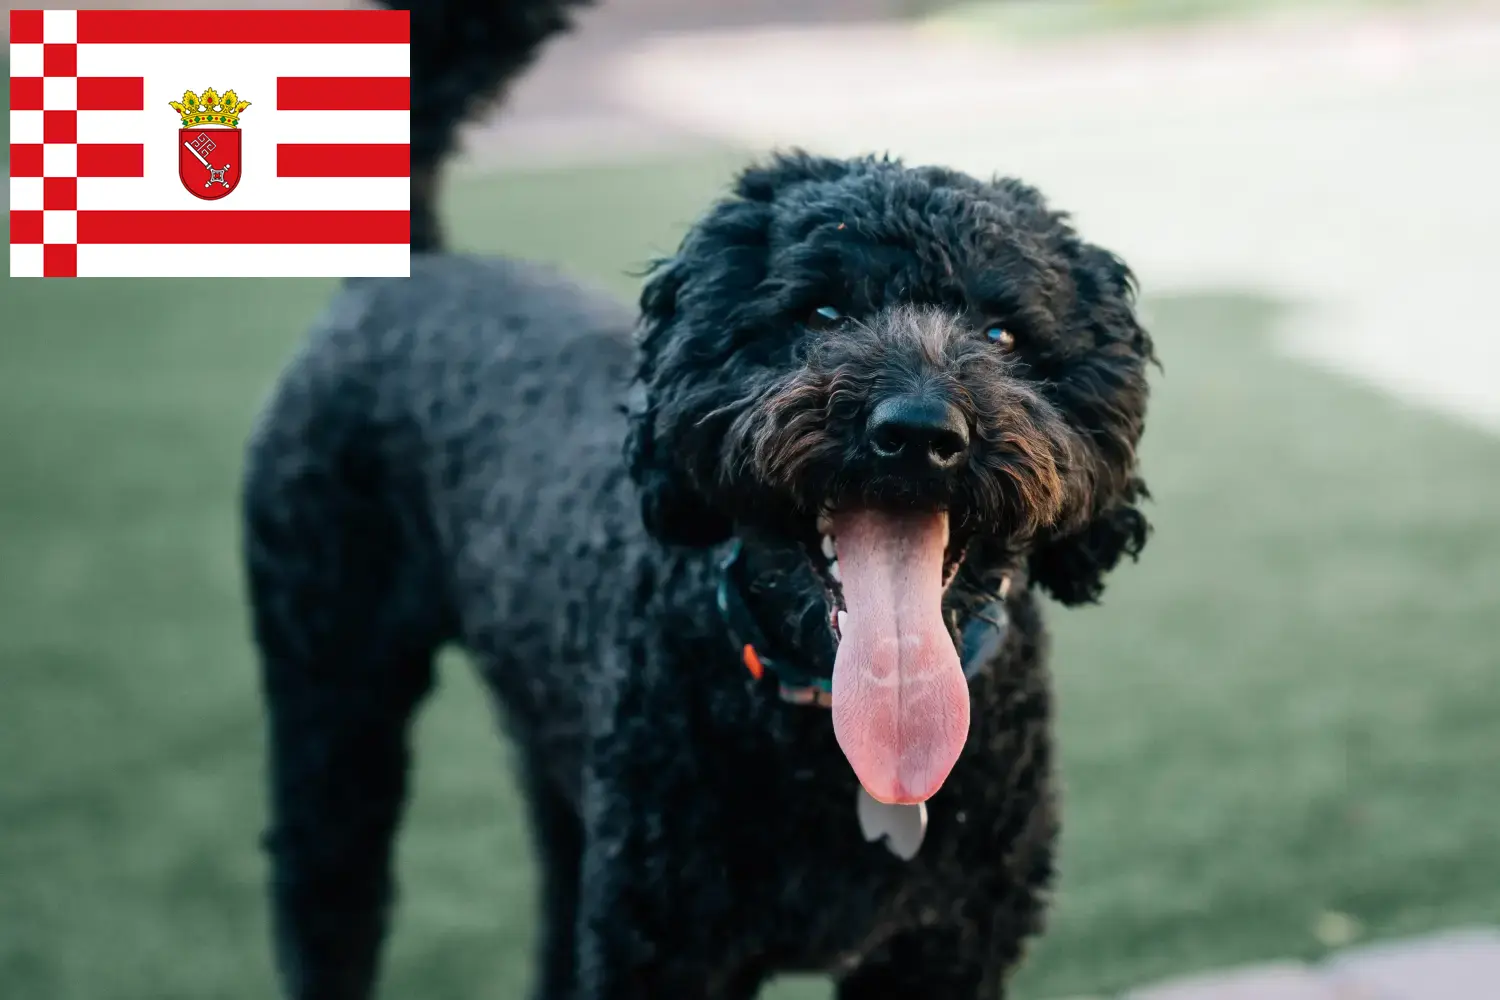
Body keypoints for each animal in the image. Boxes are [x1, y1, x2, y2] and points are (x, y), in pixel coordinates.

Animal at [243, 3, 1158, 995]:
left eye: (1002, 335)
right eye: (820, 315)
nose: (918, 429)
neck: (837, 734)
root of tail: (413, 266)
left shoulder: (949, 946)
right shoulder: (664, 944)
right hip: (331, 691)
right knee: (325, 892)